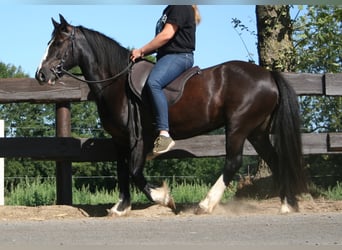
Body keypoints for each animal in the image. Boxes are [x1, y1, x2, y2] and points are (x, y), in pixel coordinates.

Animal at [35, 14, 308, 216]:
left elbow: (135, 172)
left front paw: (163, 197)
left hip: (238, 127)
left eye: (57, 43)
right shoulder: (120, 139)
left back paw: (206, 204)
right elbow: (122, 171)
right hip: (256, 131)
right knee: (275, 159)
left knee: (233, 162)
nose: (41, 74)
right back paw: (286, 204)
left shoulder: (139, 138)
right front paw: (121, 207)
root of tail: (268, 75)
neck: (117, 83)